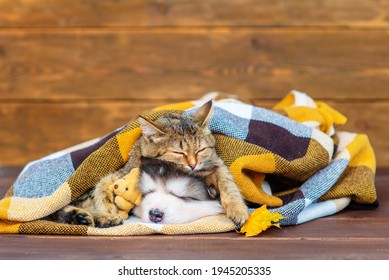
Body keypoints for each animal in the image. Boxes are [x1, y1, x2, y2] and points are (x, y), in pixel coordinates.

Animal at [45, 100, 246, 228]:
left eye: (200, 150)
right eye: (178, 153)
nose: (193, 164)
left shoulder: (215, 162)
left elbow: (228, 182)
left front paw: (238, 209)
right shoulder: (118, 173)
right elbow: (101, 189)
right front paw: (108, 211)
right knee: (60, 209)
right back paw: (94, 217)